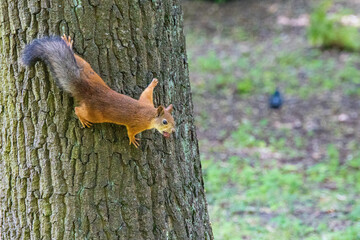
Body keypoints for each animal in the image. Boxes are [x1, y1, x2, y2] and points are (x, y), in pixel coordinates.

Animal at [21, 34, 176, 147]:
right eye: (164, 122)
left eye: (173, 119)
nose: (173, 131)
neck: (149, 114)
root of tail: (88, 90)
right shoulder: (136, 124)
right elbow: (130, 131)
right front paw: (133, 140)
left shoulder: (146, 102)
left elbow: (146, 92)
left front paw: (153, 83)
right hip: (94, 115)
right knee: (78, 110)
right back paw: (83, 119)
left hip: (87, 70)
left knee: (77, 59)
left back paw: (68, 45)